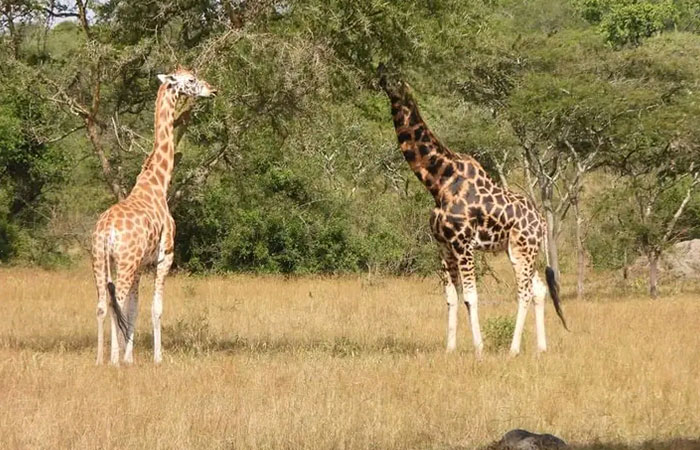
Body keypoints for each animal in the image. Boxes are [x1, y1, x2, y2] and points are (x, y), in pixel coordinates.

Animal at [91, 67, 216, 366]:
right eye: (191, 79)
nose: (213, 90)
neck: (159, 183)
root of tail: (106, 230)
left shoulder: (140, 265)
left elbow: (134, 308)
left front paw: (130, 357)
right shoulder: (164, 255)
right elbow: (155, 307)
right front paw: (157, 357)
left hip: (100, 260)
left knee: (102, 304)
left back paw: (100, 359)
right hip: (124, 261)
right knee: (116, 301)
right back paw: (112, 360)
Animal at [378, 65, 568, 356]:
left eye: (396, 79)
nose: (380, 75)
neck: (439, 183)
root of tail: (542, 223)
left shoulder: (463, 243)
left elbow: (469, 296)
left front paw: (478, 348)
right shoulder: (443, 245)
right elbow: (450, 298)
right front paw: (450, 349)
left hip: (521, 250)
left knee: (524, 291)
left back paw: (513, 349)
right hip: (526, 250)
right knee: (538, 288)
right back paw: (541, 348)